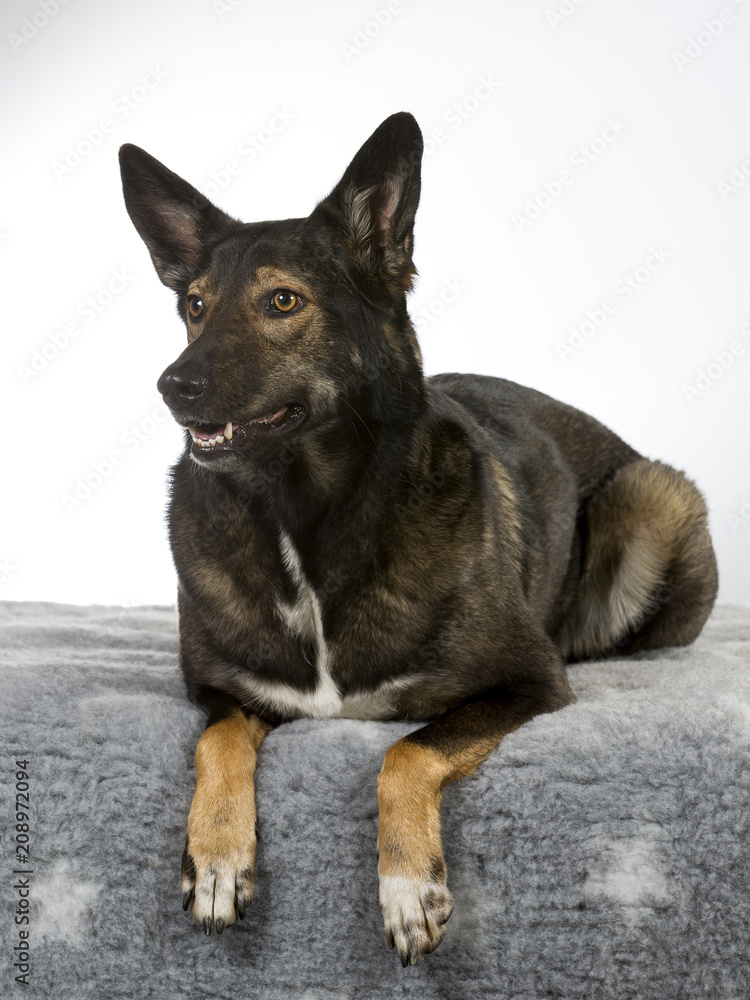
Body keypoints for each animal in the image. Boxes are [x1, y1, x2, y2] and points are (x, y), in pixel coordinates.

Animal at [119, 113, 724, 964]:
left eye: (282, 300)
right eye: (196, 305)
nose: (175, 385)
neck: (305, 517)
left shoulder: (526, 681)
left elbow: (406, 751)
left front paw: (409, 888)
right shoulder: (219, 692)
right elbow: (219, 742)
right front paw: (215, 858)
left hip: (654, 500)